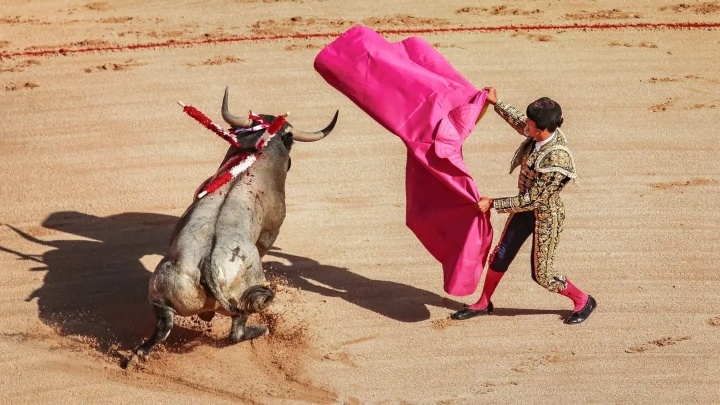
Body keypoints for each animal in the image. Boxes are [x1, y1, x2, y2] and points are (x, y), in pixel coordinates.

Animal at [126, 88, 338, 366]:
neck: (254, 157)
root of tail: (206, 265)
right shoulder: (271, 231)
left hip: (162, 291)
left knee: (163, 325)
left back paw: (138, 355)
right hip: (246, 289)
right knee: (236, 330)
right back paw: (261, 329)